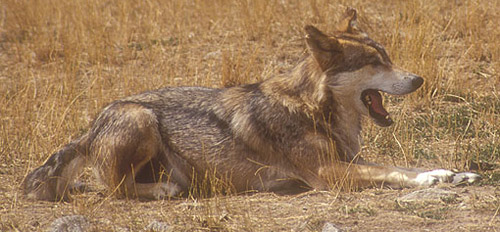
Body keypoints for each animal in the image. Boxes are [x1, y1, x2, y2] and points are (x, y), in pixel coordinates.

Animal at [22, 8, 480, 201]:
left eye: (388, 56)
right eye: (374, 62)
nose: (418, 79)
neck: (311, 108)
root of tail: (88, 129)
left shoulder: (348, 160)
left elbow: (401, 166)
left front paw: (451, 174)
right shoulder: (328, 173)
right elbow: (392, 171)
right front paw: (432, 179)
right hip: (141, 117)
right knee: (115, 189)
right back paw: (167, 189)